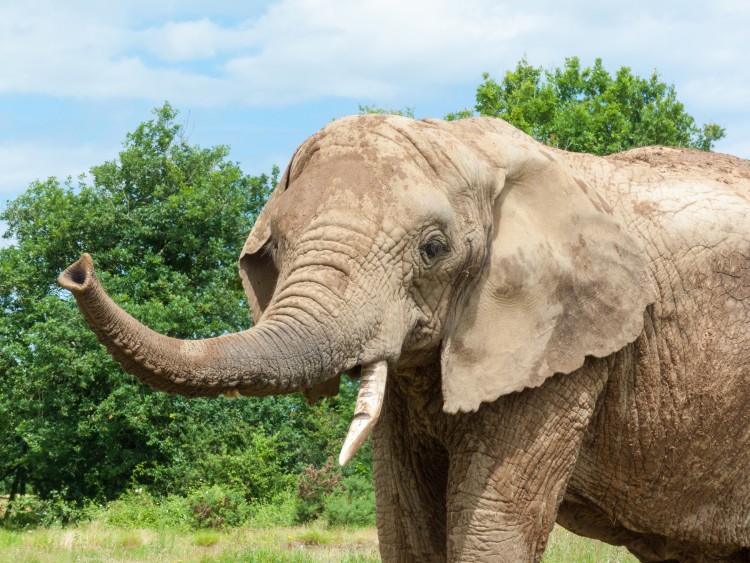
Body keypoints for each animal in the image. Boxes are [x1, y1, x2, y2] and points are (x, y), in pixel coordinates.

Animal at [61, 115, 750, 563]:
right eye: (276, 248)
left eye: (434, 249)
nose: (77, 269)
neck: (466, 144)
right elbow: (405, 523)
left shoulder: (566, 346)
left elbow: (489, 531)